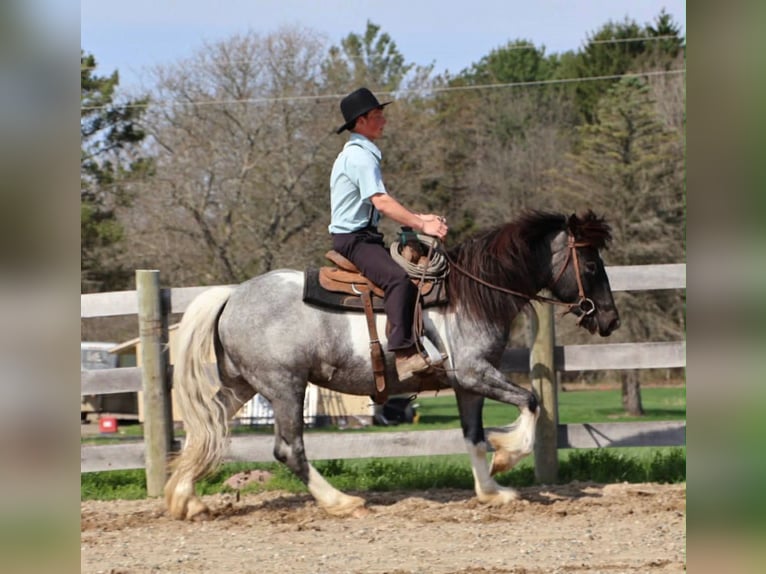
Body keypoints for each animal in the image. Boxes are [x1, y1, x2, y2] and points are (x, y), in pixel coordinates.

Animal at [165, 210, 620, 520]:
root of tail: (231, 295)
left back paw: (186, 499)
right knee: (288, 449)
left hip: (244, 385)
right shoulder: (476, 373)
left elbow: (474, 438)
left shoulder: (467, 385)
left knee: (207, 429)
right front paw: (506, 457)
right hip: (285, 387)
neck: (469, 294)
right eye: (591, 264)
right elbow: (531, 402)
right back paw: (341, 501)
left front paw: (493, 490)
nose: (610, 320)